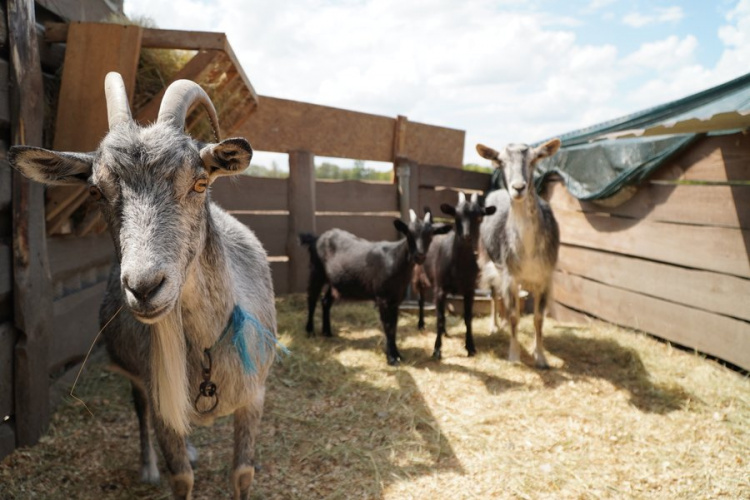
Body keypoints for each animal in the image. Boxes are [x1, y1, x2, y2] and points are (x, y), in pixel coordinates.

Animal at [9, 72, 276, 498]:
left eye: (200, 183)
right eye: (95, 190)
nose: (144, 287)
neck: (205, 351)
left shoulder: (255, 397)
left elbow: (242, 474)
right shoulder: (158, 393)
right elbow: (181, 476)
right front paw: (168, 468)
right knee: (140, 414)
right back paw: (150, 467)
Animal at [300, 209, 452, 366]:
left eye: (431, 235)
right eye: (409, 233)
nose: (419, 256)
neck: (395, 261)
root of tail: (316, 238)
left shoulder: (396, 299)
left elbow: (394, 326)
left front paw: (397, 355)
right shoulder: (382, 298)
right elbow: (388, 326)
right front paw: (391, 358)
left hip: (335, 281)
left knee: (326, 301)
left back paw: (327, 331)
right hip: (316, 271)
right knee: (312, 298)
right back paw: (310, 331)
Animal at [414, 192, 496, 360]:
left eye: (479, 217)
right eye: (456, 215)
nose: (466, 236)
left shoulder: (469, 290)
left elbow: (468, 318)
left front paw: (471, 347)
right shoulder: (439, 288)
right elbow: (439, 319)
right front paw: (437, 350)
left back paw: (445, 331)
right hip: (420, 275)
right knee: (421, 299)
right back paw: (421, 324)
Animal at [478, 138, 560, 368]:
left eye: (534, 160)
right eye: (501, 161)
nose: (518, 188)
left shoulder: (545, 277)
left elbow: (538, 318)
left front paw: (540, 356)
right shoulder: (510, 273)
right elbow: (515, 314)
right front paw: (514, 355)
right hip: (488, 260)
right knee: (494, 294)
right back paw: (495, 326)